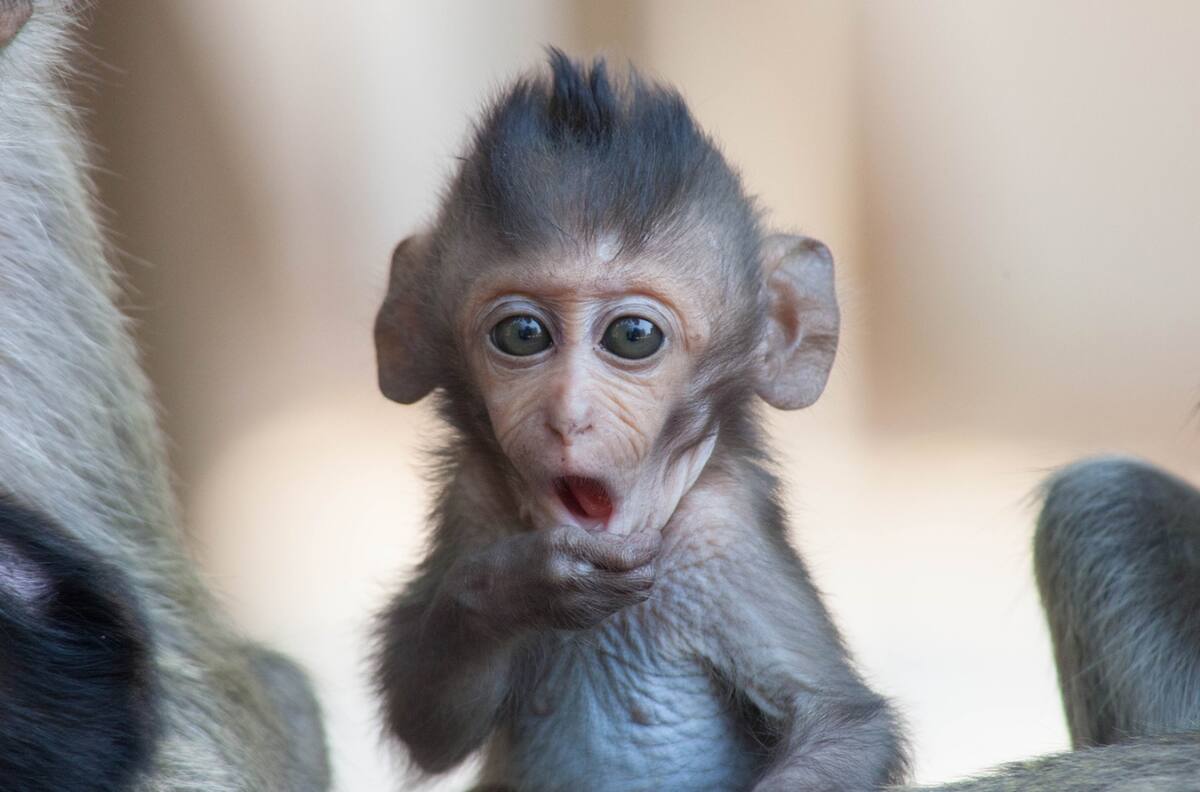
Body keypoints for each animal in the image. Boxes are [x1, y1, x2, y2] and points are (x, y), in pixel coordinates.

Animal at [371, 50, 908, 791]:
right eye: (521, 335)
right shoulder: (474, 499)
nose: (569, 415)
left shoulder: (721, 536)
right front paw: (528, 584)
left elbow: (843, 724)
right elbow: (426, 720)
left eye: (632, 336)